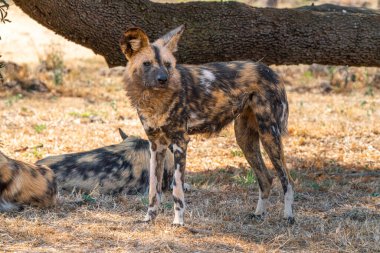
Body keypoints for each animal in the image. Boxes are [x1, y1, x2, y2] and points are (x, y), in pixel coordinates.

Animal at [119, 24, 294, 224]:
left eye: (168, 65)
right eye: (147, 64)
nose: (163, 79)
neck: (154, 100)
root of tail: (271, 70)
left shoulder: (180, 143)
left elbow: (177, 189)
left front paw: (178, 222)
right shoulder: (156, 146)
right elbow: (153, 190)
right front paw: (149, 218)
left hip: (269, 136)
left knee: (287, 180)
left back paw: (289, 216)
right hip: (245, 140)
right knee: (266, 178)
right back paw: (258, 214)